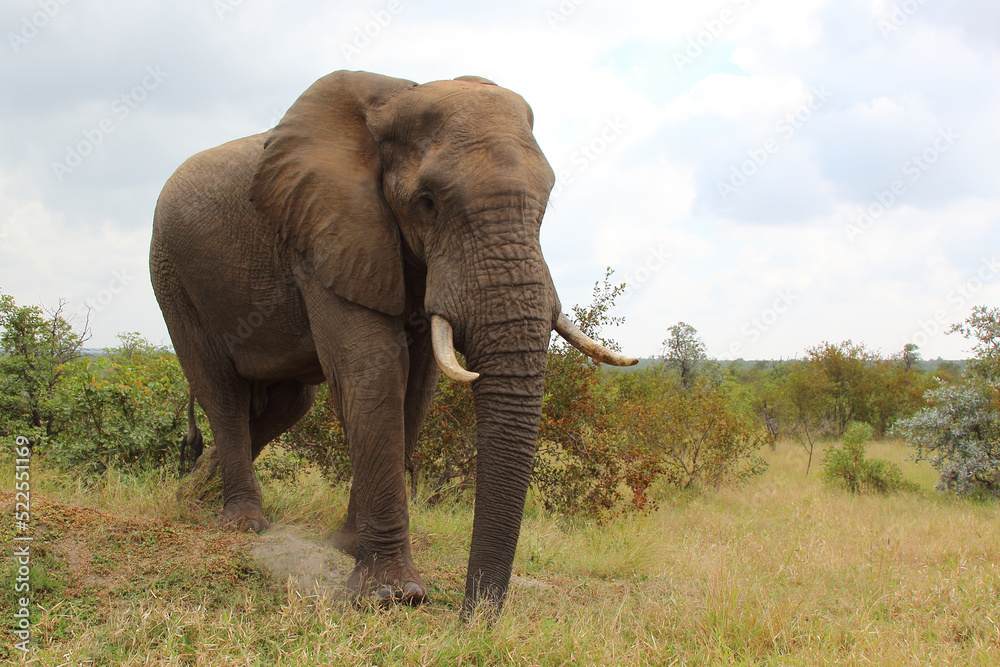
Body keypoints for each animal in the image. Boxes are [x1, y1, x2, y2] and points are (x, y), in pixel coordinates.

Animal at [149, 70, 636, 618]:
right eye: (427, 202)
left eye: (546, 202)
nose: (472, 621)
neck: (399, 95)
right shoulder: (326, 233)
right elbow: (373, 369)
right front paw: (393, 596)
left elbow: (417, 384)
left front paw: (346, 547)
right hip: (172, 276)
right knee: (223, 392)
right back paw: (242, 523)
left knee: (289, 403)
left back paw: (190, 494)